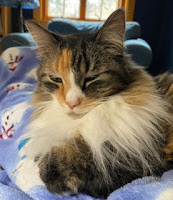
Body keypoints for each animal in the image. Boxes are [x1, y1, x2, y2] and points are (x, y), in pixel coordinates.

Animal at [23, 8, 173, 198]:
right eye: (56, 79)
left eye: (92, 78)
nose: (71, 103)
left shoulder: (140, 157)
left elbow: (91, 155)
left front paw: (52, 170)